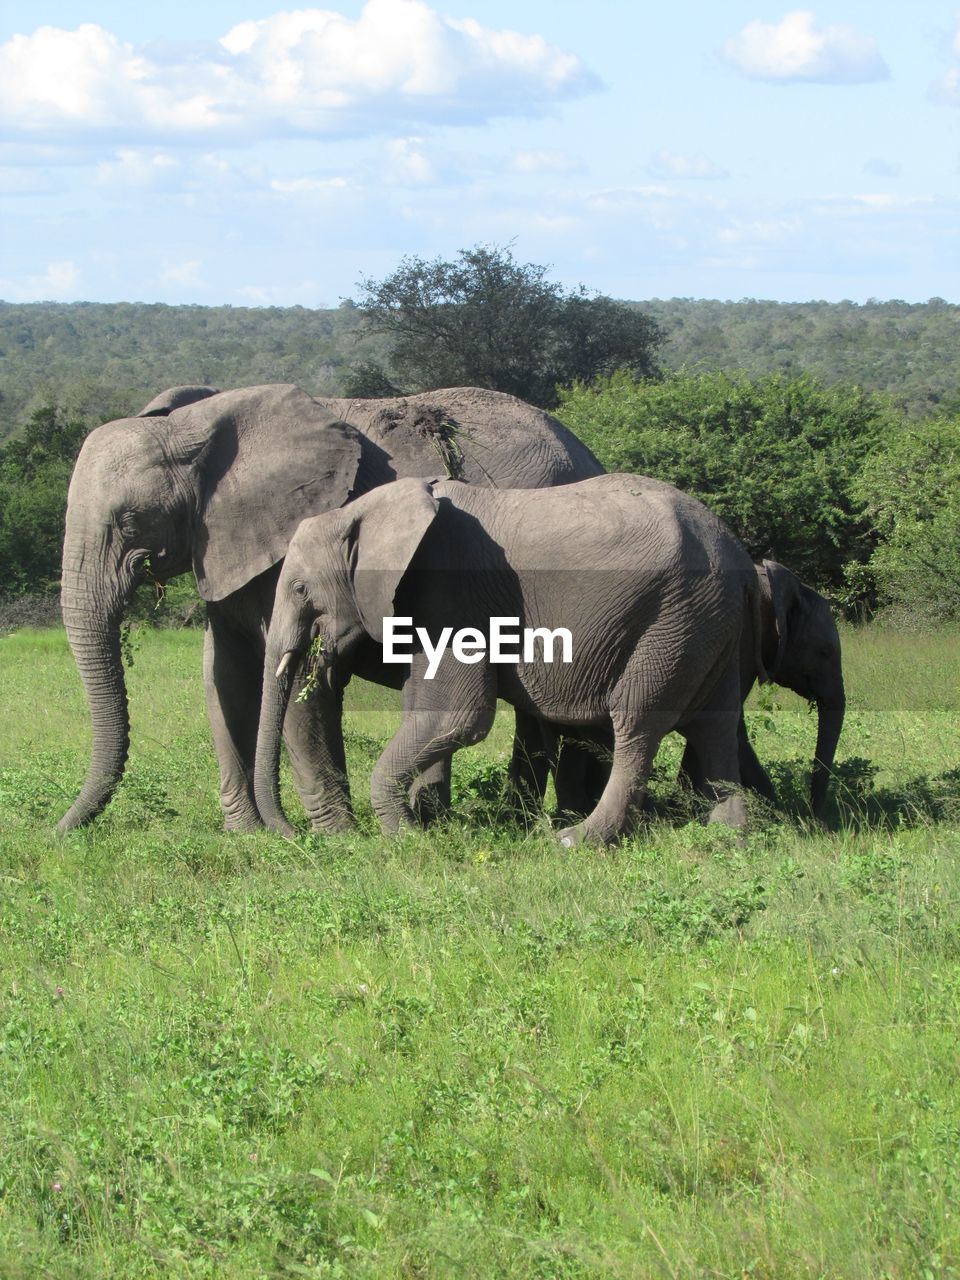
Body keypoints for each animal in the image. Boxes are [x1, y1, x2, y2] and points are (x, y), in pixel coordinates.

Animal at [56, 384, 604, 834]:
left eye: (129, 521)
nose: (59, 832)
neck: (192, 428)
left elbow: (304, 677)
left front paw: (334, 838)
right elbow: (223, 677)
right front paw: (247, 835)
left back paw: (547, 820)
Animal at [253, 476, 768, 844]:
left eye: (300, 589)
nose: (289, 833)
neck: (362, 511)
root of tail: (741, 559)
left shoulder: (452, 594)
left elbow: (458, 716)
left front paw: (405, 838)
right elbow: (425, 708)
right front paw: (424, 825)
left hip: (672, 619)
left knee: (638, 723)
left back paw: (577, 840)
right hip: (707, 623)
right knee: (715, 725)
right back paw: (727, 838)